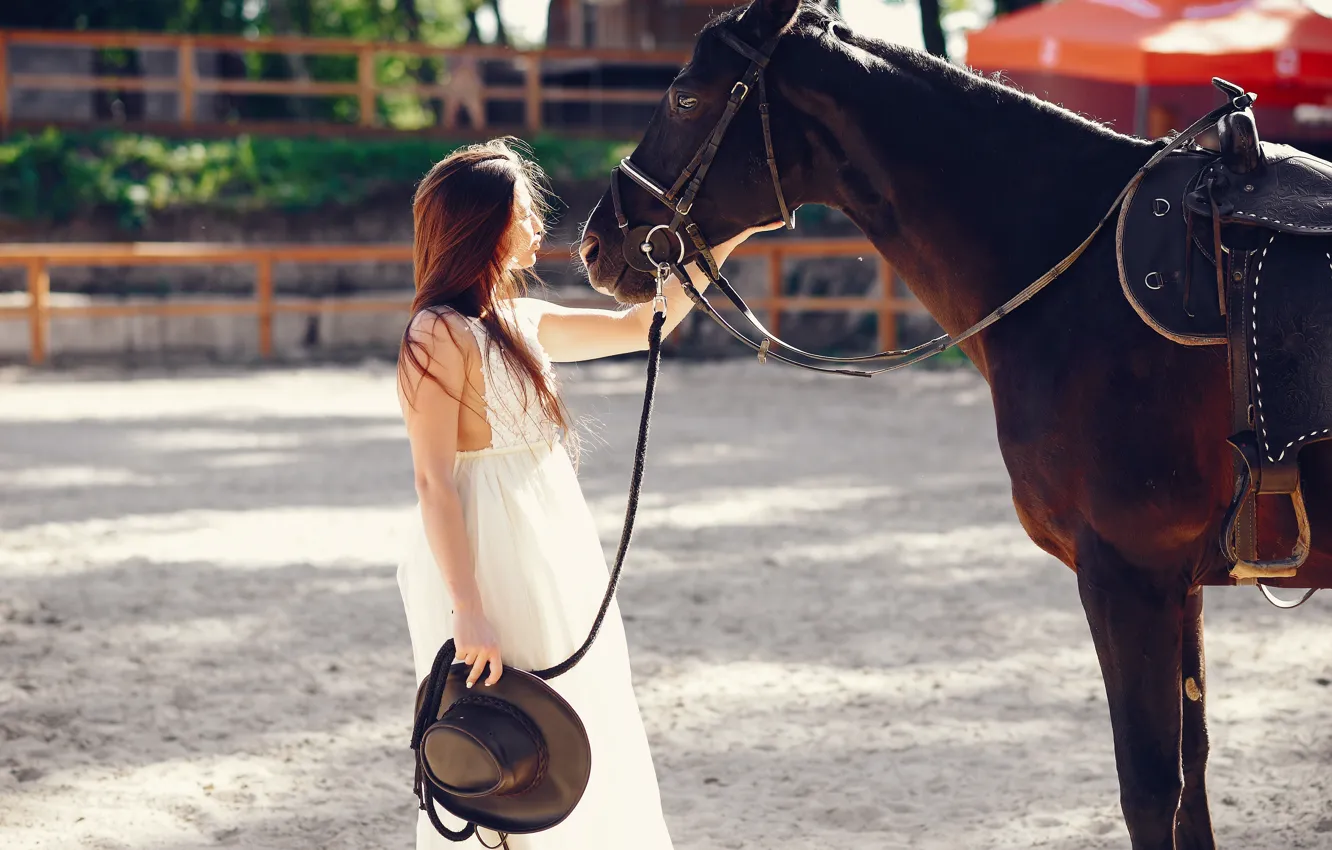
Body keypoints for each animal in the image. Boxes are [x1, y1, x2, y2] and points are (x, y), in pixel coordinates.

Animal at [576, 1, 1332, 847]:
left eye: (684, 97)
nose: (596, 244)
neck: (1081, 276)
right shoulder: (1179, 584)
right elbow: (1192, 775)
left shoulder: (1126, 575)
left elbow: (1148, 789)